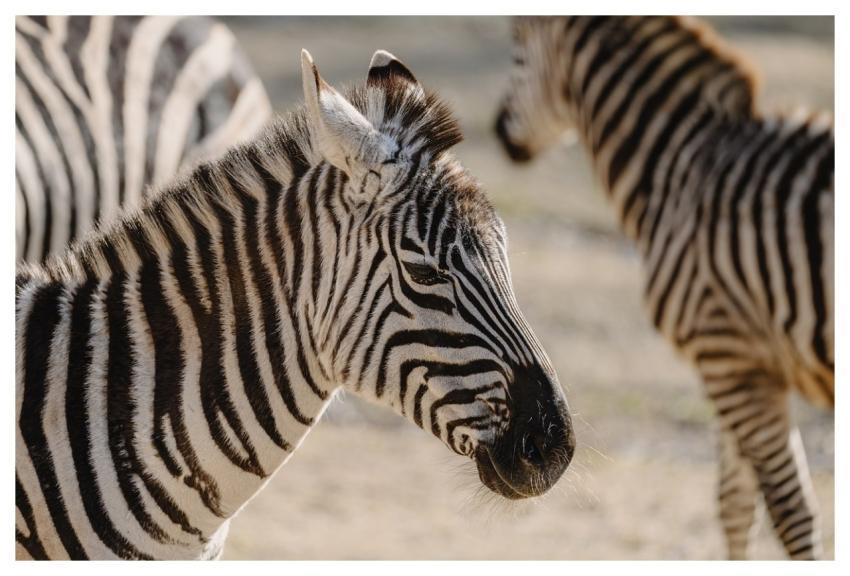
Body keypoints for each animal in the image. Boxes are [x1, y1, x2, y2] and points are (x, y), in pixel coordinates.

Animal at [494, 16, 833, 560]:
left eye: (517, 52)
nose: (499, 132)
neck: (678, 168)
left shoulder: (727, 356)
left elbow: (789, 510)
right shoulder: (744, 362)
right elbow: (735, 503)